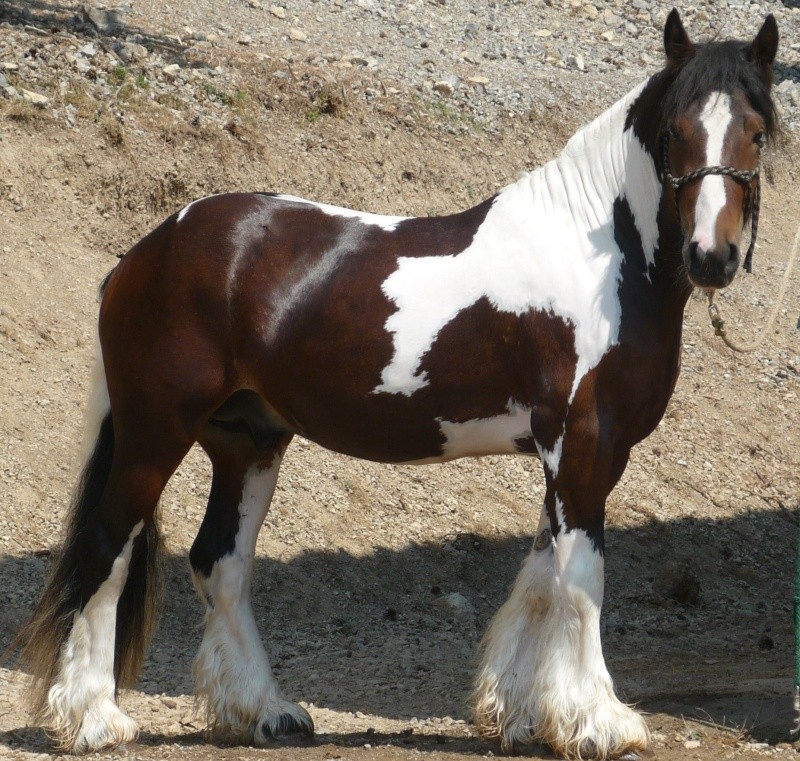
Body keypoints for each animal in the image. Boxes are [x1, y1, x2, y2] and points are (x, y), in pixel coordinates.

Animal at [15, 10, 780, 760]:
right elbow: (581, 581)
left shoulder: (570, 456)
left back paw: (264, 712)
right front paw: (598, 722)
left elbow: (542, 579)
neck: (600, 259)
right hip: (155, 432)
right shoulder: (586, 445)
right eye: (675, 131)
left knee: (220, 562)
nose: (712, 257)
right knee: (107, 551)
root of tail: (142, 255)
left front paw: (521, 714)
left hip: (247, 441)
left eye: (757, 131)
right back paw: (92, 719)